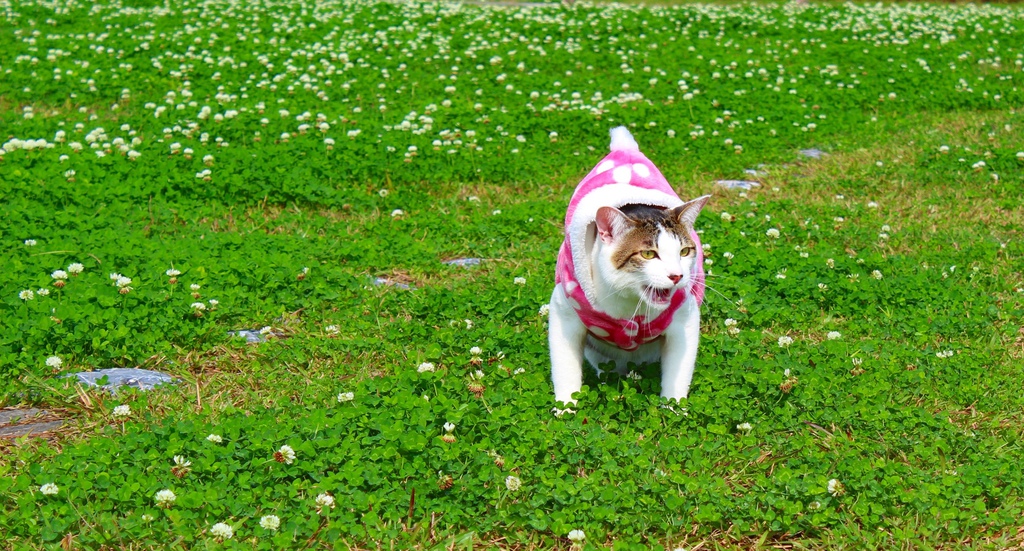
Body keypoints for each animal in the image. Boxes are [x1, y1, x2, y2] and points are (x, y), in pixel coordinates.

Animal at [548, 127, 708, 403]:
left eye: (685, 251)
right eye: (648, 254)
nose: (677, 276)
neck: (630, 302)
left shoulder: (684, 319)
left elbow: (678, 374)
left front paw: (673, 407)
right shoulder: (563, 309)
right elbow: (565, 368)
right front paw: (566, 407)